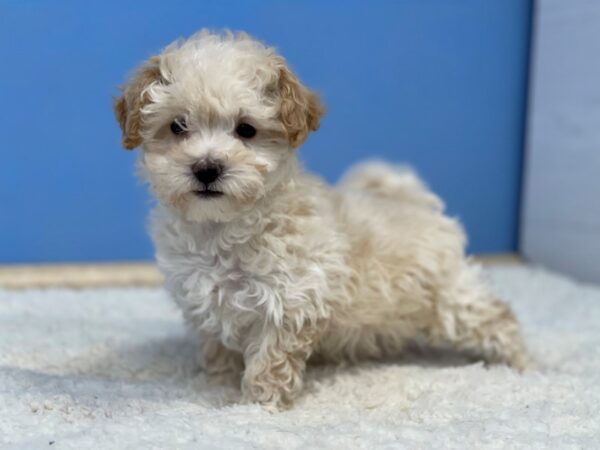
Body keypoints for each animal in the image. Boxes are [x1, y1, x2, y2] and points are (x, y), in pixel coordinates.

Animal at [115, 29, 528, 410]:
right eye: (178, 126)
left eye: (246, 129)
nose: (206, 168)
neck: (222, 229)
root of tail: (415, 203)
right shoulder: (203, 302)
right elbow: (216, 346)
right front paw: (217, 384)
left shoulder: (291, 300)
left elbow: (270, 359)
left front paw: (259, 405)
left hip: (452, 295)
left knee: (498, 318)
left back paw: (525, 366)